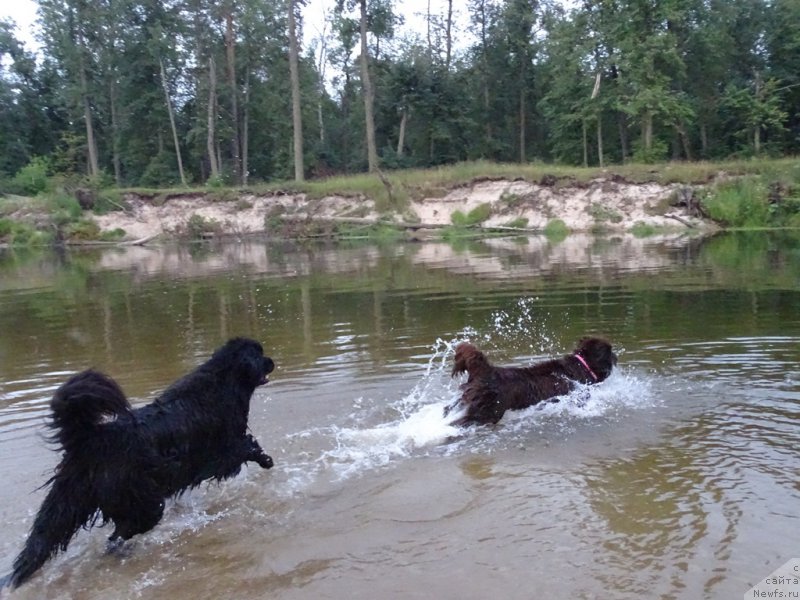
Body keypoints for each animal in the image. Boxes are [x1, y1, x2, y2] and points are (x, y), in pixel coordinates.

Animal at [3, 338, 276, 592]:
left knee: (41, 542)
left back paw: (14, 578)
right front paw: (266, 460)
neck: (225, 380)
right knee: (117, 535)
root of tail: (92, 439)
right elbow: (246, 449)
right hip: (142, 502)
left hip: (65, 503)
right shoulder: (220, 451)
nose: (272, 361)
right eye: (259, 354)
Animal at [444, 338, 620, 426]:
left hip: (468, 399)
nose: (616, 356)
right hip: (488, 411)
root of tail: (487, 370)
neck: (581, 365)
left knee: (449, 408)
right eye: (610, 352)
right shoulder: (578, 398)